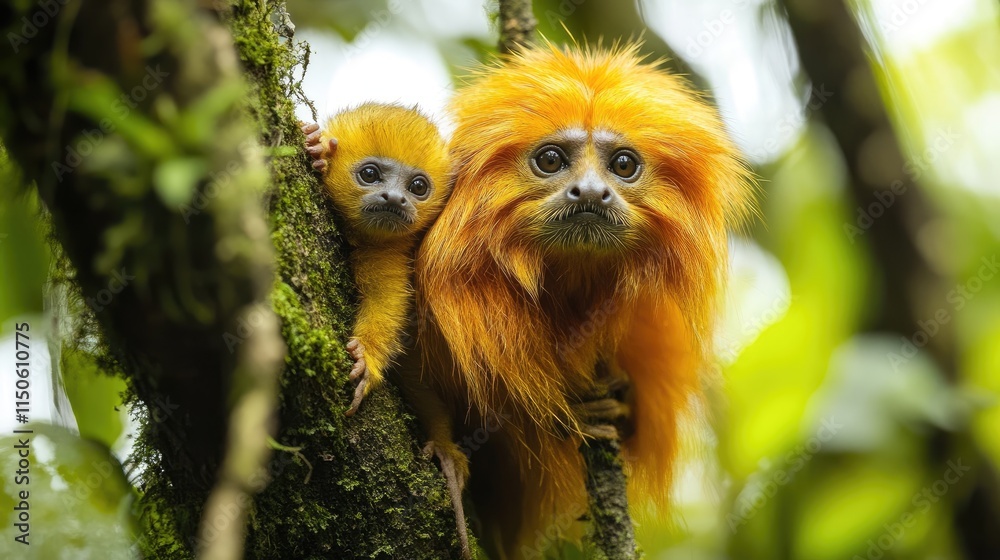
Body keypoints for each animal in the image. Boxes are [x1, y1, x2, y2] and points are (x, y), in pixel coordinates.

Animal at [301, 104, 472, 559]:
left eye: (417, 186)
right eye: (370, 174)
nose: (395, 199)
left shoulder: (391, 252)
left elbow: (387, 303)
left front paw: (368, 357)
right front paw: (317, 146)